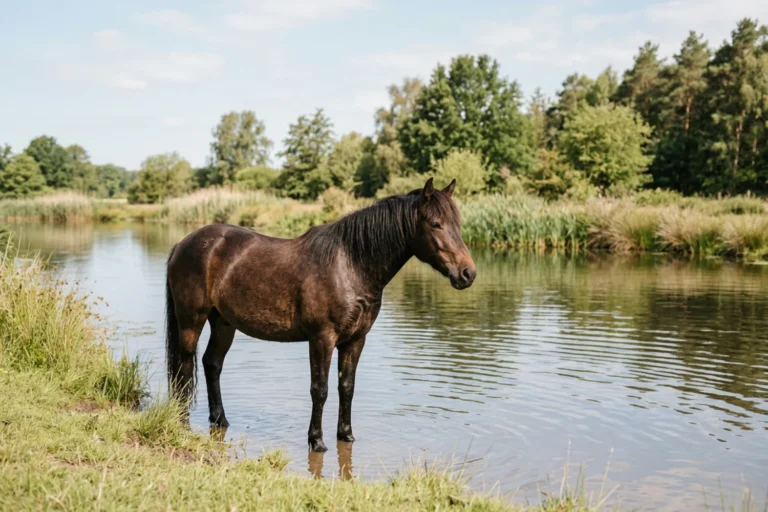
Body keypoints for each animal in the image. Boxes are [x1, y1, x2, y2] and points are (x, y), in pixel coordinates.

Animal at [164, 177, 477, 452]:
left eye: (458, 224)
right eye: (435, 224)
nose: (467, 273)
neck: (350, 264)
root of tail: (183, 244)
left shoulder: (355, 340)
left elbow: (346, 388)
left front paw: (346, 435)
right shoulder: (322, 339)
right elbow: (320, 389)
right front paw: (317, 441)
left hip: (223, 323)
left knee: (212, 364)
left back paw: (220, 420)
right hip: (191, 320)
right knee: (185, 367)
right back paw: (182, 422)